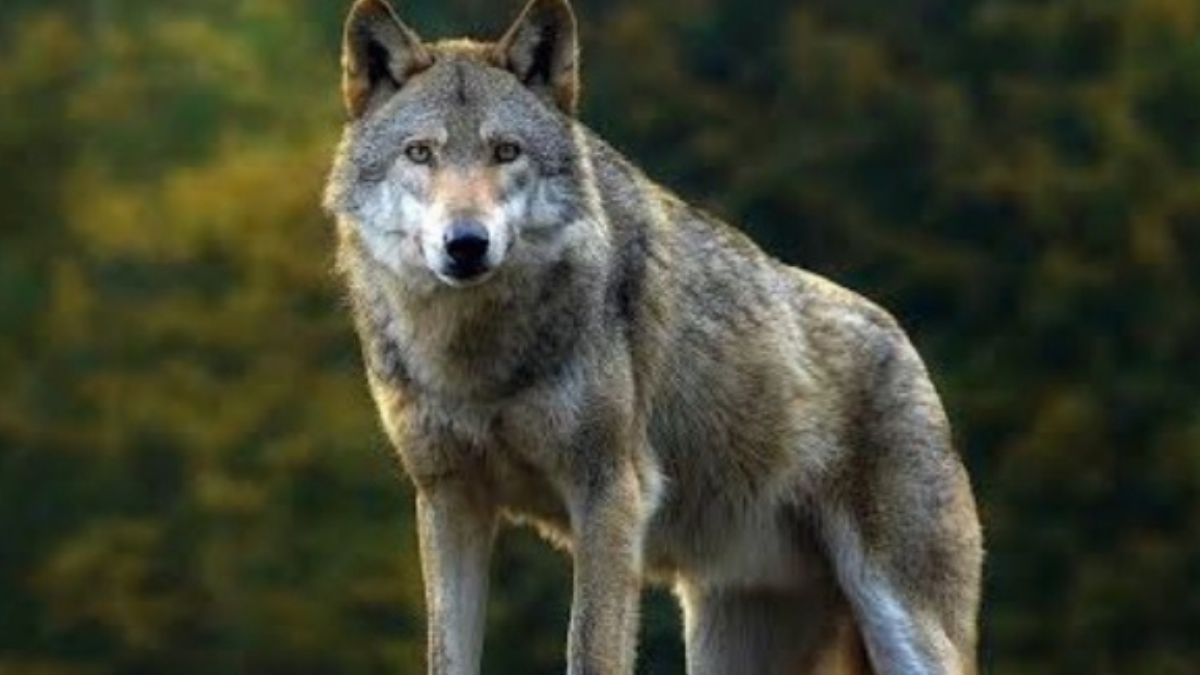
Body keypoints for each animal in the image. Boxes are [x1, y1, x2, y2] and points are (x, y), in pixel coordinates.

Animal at [323, 0, 983, 673]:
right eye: (420, 153)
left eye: (506, 151)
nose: (466, 243)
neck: (475, 358)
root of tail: (904, 343)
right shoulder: (449, 500)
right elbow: (447, 653)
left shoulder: (610, 493)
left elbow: (590, 647)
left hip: (903, 627)